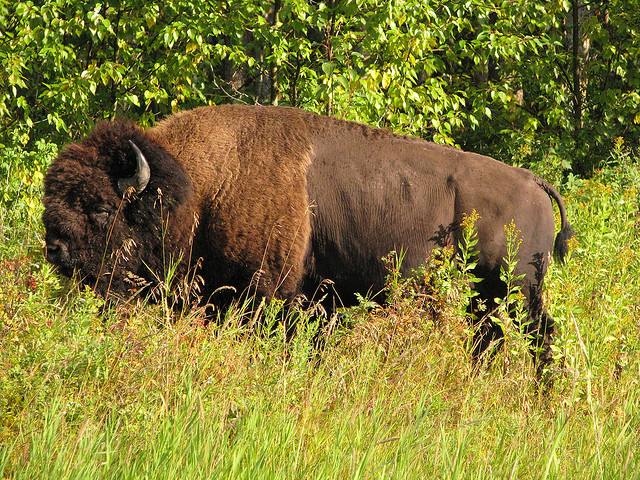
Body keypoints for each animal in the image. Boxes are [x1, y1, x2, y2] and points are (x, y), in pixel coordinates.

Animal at [42, 105, 573, 371]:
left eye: (103, 208)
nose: (56, 250)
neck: (198, 190)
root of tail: (534, 182)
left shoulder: (267, 294)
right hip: (486, 299)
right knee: (490, 339)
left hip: (519, 292)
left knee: (539, 337)